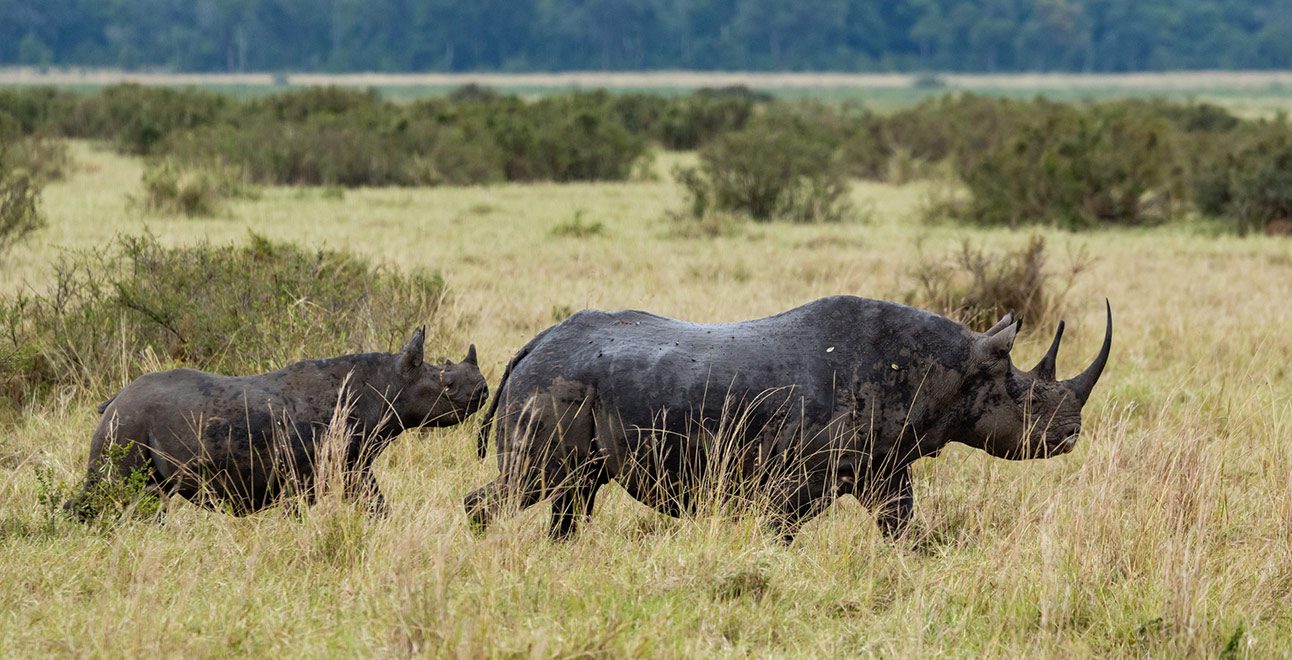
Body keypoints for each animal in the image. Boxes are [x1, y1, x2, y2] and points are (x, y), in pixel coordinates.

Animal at [66, 329, 487, 518]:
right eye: (447, 384)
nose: (483, 390)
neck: (391, 382)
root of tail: (113, 400)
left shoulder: (351, 465)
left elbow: (376, 504)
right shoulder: (321, 470)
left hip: (129, 425)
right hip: (126, 425)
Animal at [466, 296, 1111, 542]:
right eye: (1029, 402)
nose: (1071, 436)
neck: (950, 370)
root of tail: (529, 347)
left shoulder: (885, 465)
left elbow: (903, 528)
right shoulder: (796, 479)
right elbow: (781, 531)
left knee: (574, 491)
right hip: (552, 385)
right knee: (533, 484)